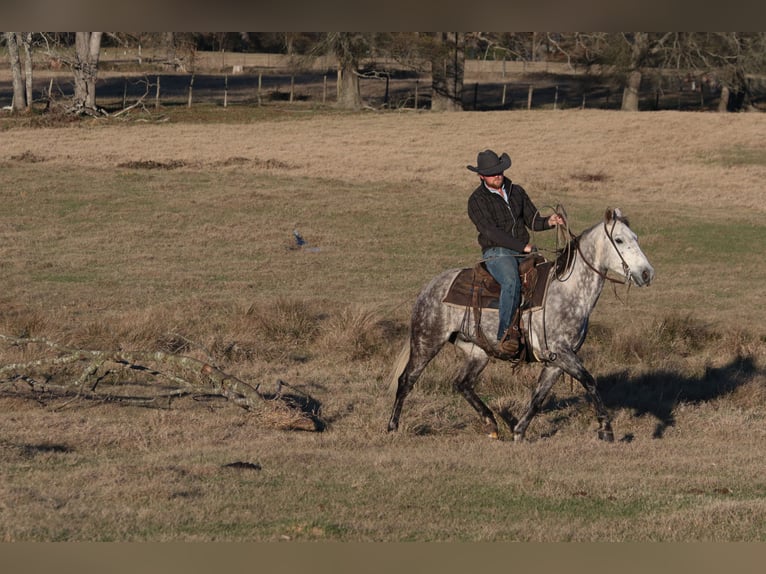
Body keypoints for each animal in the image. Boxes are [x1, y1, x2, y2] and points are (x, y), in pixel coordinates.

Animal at [388, 209, 656, 444]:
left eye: (635, 238)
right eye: (619, 239)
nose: (647, 274)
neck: (566, 291)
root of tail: (430, 287)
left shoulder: (556, 360)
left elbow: (538, 397)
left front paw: (518, 432)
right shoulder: (562, 353)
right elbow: (589, 381)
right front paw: (606, 429)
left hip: (477, 352)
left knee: (462, 383)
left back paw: (491, 423)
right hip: (427, 341)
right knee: (406, 380)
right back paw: (392, 427)